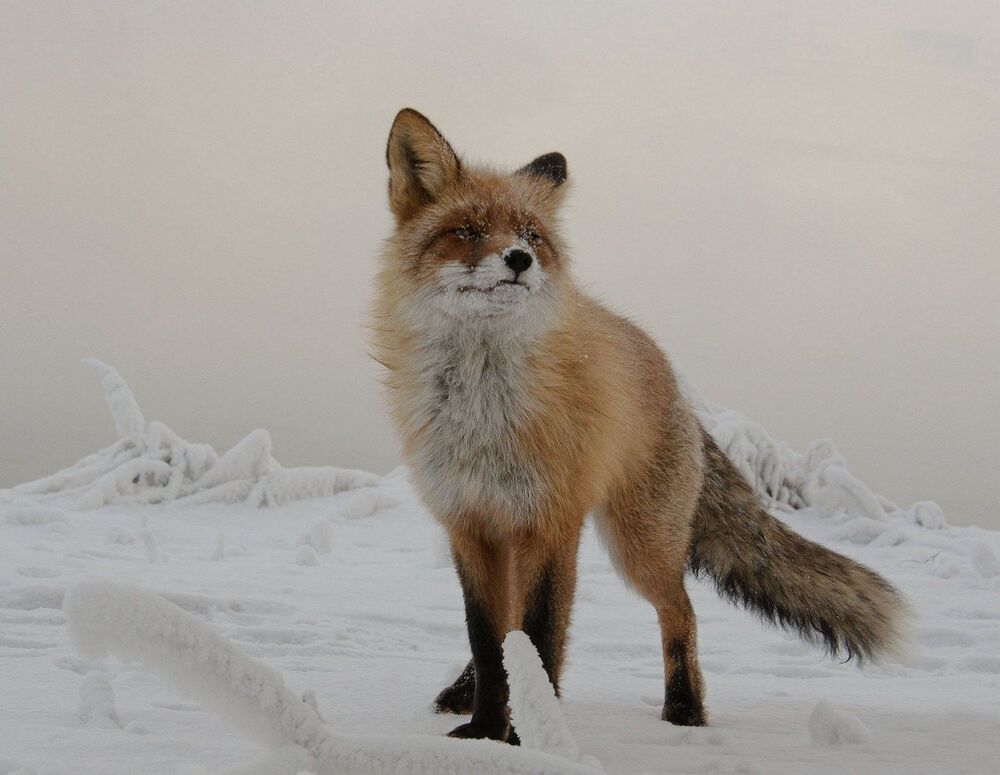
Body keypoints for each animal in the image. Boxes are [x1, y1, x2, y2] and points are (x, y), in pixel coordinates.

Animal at [371, 108, 909, 744]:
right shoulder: (470, 524)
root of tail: (673, 382)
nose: (519, 260)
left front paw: (534, 737)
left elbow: (540, 637)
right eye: (469, 230)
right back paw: (464, 692)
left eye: (531, 235)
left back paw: (685, 709)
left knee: (682, 611)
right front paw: (484, 731)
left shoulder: (550, 523)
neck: (483, 410)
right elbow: (487, 635)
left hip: (640, 543)